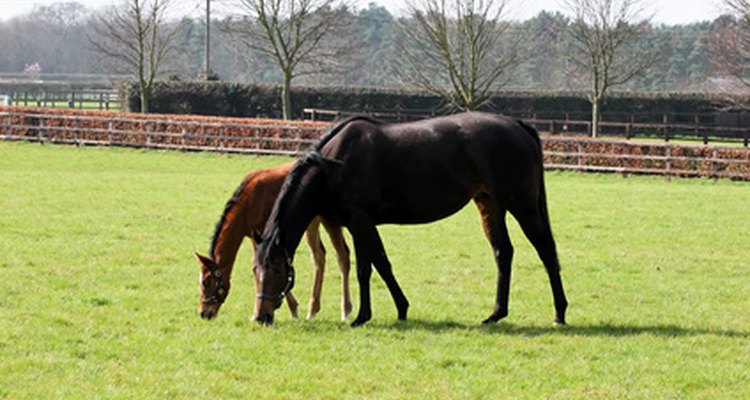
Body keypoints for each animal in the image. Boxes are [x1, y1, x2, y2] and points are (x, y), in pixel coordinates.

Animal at [198, 161, 354, 320]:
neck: (249, 201)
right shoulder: (257, 237)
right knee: (319, 256)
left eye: (206, 282)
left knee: (343, 255)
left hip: (330, 220)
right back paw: (312, 310)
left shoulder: (263, 233)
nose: (203, 313)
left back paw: (346, 310)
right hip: (311, 223)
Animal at [254, 111, 568, 326]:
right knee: (503, 252)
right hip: (490, 205)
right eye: (255, 271)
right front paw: (401, 308)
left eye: (279, 270)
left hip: (524, 207)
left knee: (546, 251)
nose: (261, 316)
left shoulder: (360, 221)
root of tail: (518, 125)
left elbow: (365, 269)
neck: (335, 163)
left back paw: (559, 313)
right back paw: (495, 314)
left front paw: (361, 316)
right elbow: (382, 264)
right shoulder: (362, 225)